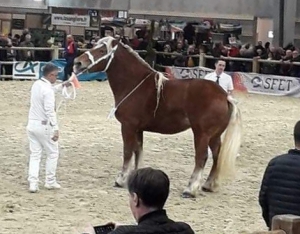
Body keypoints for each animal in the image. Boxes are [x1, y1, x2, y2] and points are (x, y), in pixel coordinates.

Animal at [74, 36, 243, 197]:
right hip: (214, 136)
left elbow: (128, 152)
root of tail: (224, 96)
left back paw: (190, 190)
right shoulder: (138, 129)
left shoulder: (128, 126)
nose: (77, 62)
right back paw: (208, 185)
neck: (136, 85)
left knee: (201, 158)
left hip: (202, 134)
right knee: (216, 155)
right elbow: (138, 151)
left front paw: (121, 180)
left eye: (102, 50)